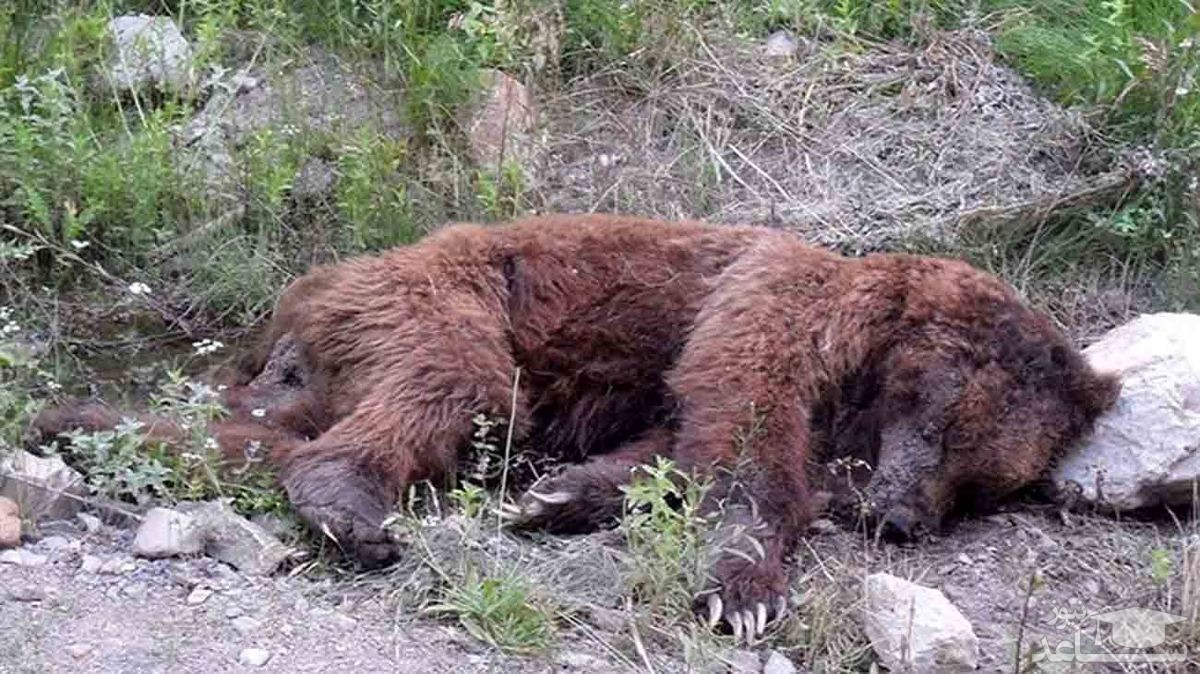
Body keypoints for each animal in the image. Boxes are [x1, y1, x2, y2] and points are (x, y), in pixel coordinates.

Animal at [32, 212, 1118, 638]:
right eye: (944, 425)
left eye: (985, 481)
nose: (901, 517)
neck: (861, 354)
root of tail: (297, 300)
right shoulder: (769, 309)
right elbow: (743, 437)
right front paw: (744, 590)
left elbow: (666, 447)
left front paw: (561, 494)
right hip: (443, 299)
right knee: (447, 386)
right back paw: (352, 507)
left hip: (325, 355)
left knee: (254, 424)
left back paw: (78, 418)